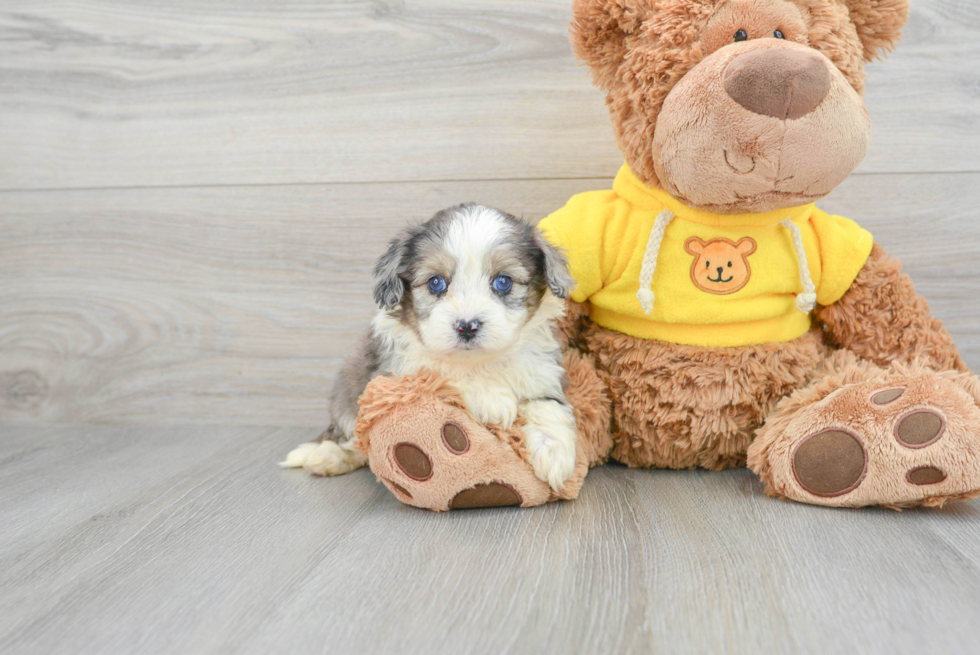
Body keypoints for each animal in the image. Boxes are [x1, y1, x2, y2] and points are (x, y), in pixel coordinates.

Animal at [280, 205, 580, 492]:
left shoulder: (541, 372)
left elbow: (547, 407)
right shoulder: (401, 370)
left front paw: (554, 453)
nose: (467, 326)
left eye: (503, 282)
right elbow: (442, 372)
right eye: (436, 282)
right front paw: (491, 399)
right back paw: (327, 457)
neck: (480, 361)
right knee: (348, 437)